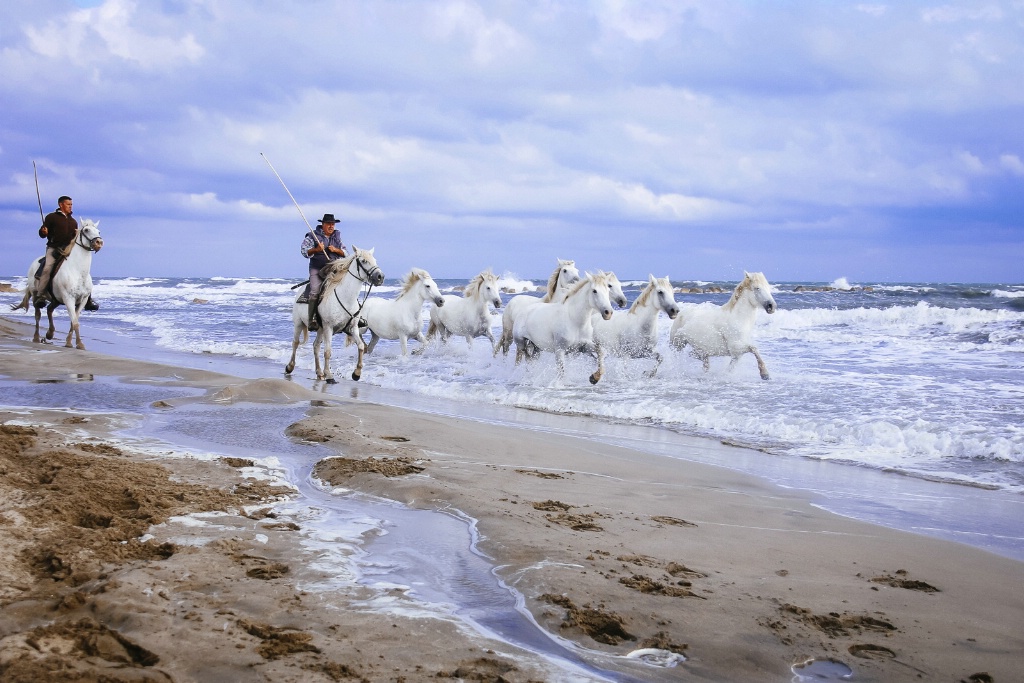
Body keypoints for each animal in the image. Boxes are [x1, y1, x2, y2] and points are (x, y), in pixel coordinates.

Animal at [12, 219, 103, 350]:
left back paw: (50, 333)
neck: (78, 271)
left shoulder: (83, 300)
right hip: (36, 295)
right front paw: (79, 344)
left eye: (98, 231)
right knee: (38, 314)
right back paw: (36, 338)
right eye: (86, 230)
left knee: (49, 309)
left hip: (56, 299)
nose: (99, 242)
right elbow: (75, 322)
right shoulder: (69, 299)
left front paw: (69, 342)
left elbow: (73, 321)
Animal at [284, 246, 385, 385]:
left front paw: (356, 374)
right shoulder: (328, 327)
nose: (380, 277)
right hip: (299, 323)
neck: (346, 297)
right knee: (295, 343)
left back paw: (319, 373)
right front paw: (330, 376)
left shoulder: (353, 328)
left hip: (320, 329)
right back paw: (290, 367)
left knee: (315, 346)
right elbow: (328, 351)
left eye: (375, 260)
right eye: (364, 261)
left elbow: (360, 346)